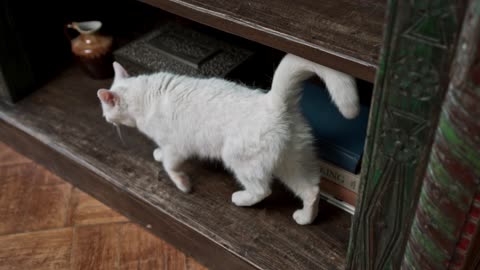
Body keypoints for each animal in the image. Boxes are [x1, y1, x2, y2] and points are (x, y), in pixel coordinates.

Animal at [97, 53, 358, 226]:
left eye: (105, 109)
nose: (105, 119)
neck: (146, 96)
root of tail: (273, 102)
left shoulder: (177, 147)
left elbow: (170, 166)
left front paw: (183, 184)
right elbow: (163, 155)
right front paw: (158, 154)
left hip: (238, 159)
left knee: (263, 190)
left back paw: (241, 199)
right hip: (293, 162)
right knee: (312, 190)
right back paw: (305, 217)